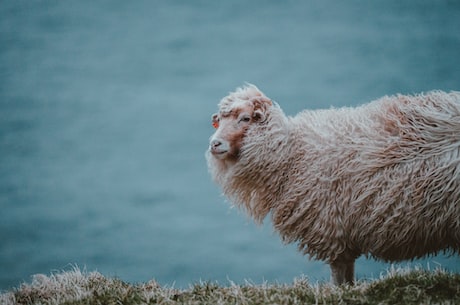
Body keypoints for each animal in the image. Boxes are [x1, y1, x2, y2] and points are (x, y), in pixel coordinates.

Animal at [207, 84, 460, 284]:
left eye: (245, 118)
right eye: (220, 121)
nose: (214, 144)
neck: (293, 154)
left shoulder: (332, 228)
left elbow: (339, 277)